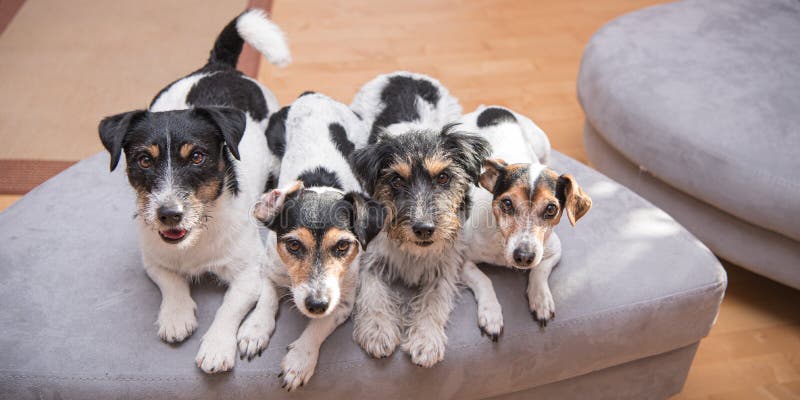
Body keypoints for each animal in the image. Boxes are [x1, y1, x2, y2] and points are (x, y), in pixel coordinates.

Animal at [241, 92, 384, 390]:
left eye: (342, 246)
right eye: (293, 245)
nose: (316, 304)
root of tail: (312, 95)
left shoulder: (343, 302)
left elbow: (318, 327)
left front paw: (300, 360)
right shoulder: (268, 269)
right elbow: (267, 298)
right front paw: (254, 330)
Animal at [352, 71, 494, 366]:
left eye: (443, 177)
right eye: (396, 180)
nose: (424, 229)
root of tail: (405, 74)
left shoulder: (446, 263)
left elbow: (435, 299)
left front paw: (425, 339)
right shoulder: (371, 256)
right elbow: (373, 292)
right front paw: (378, 332)